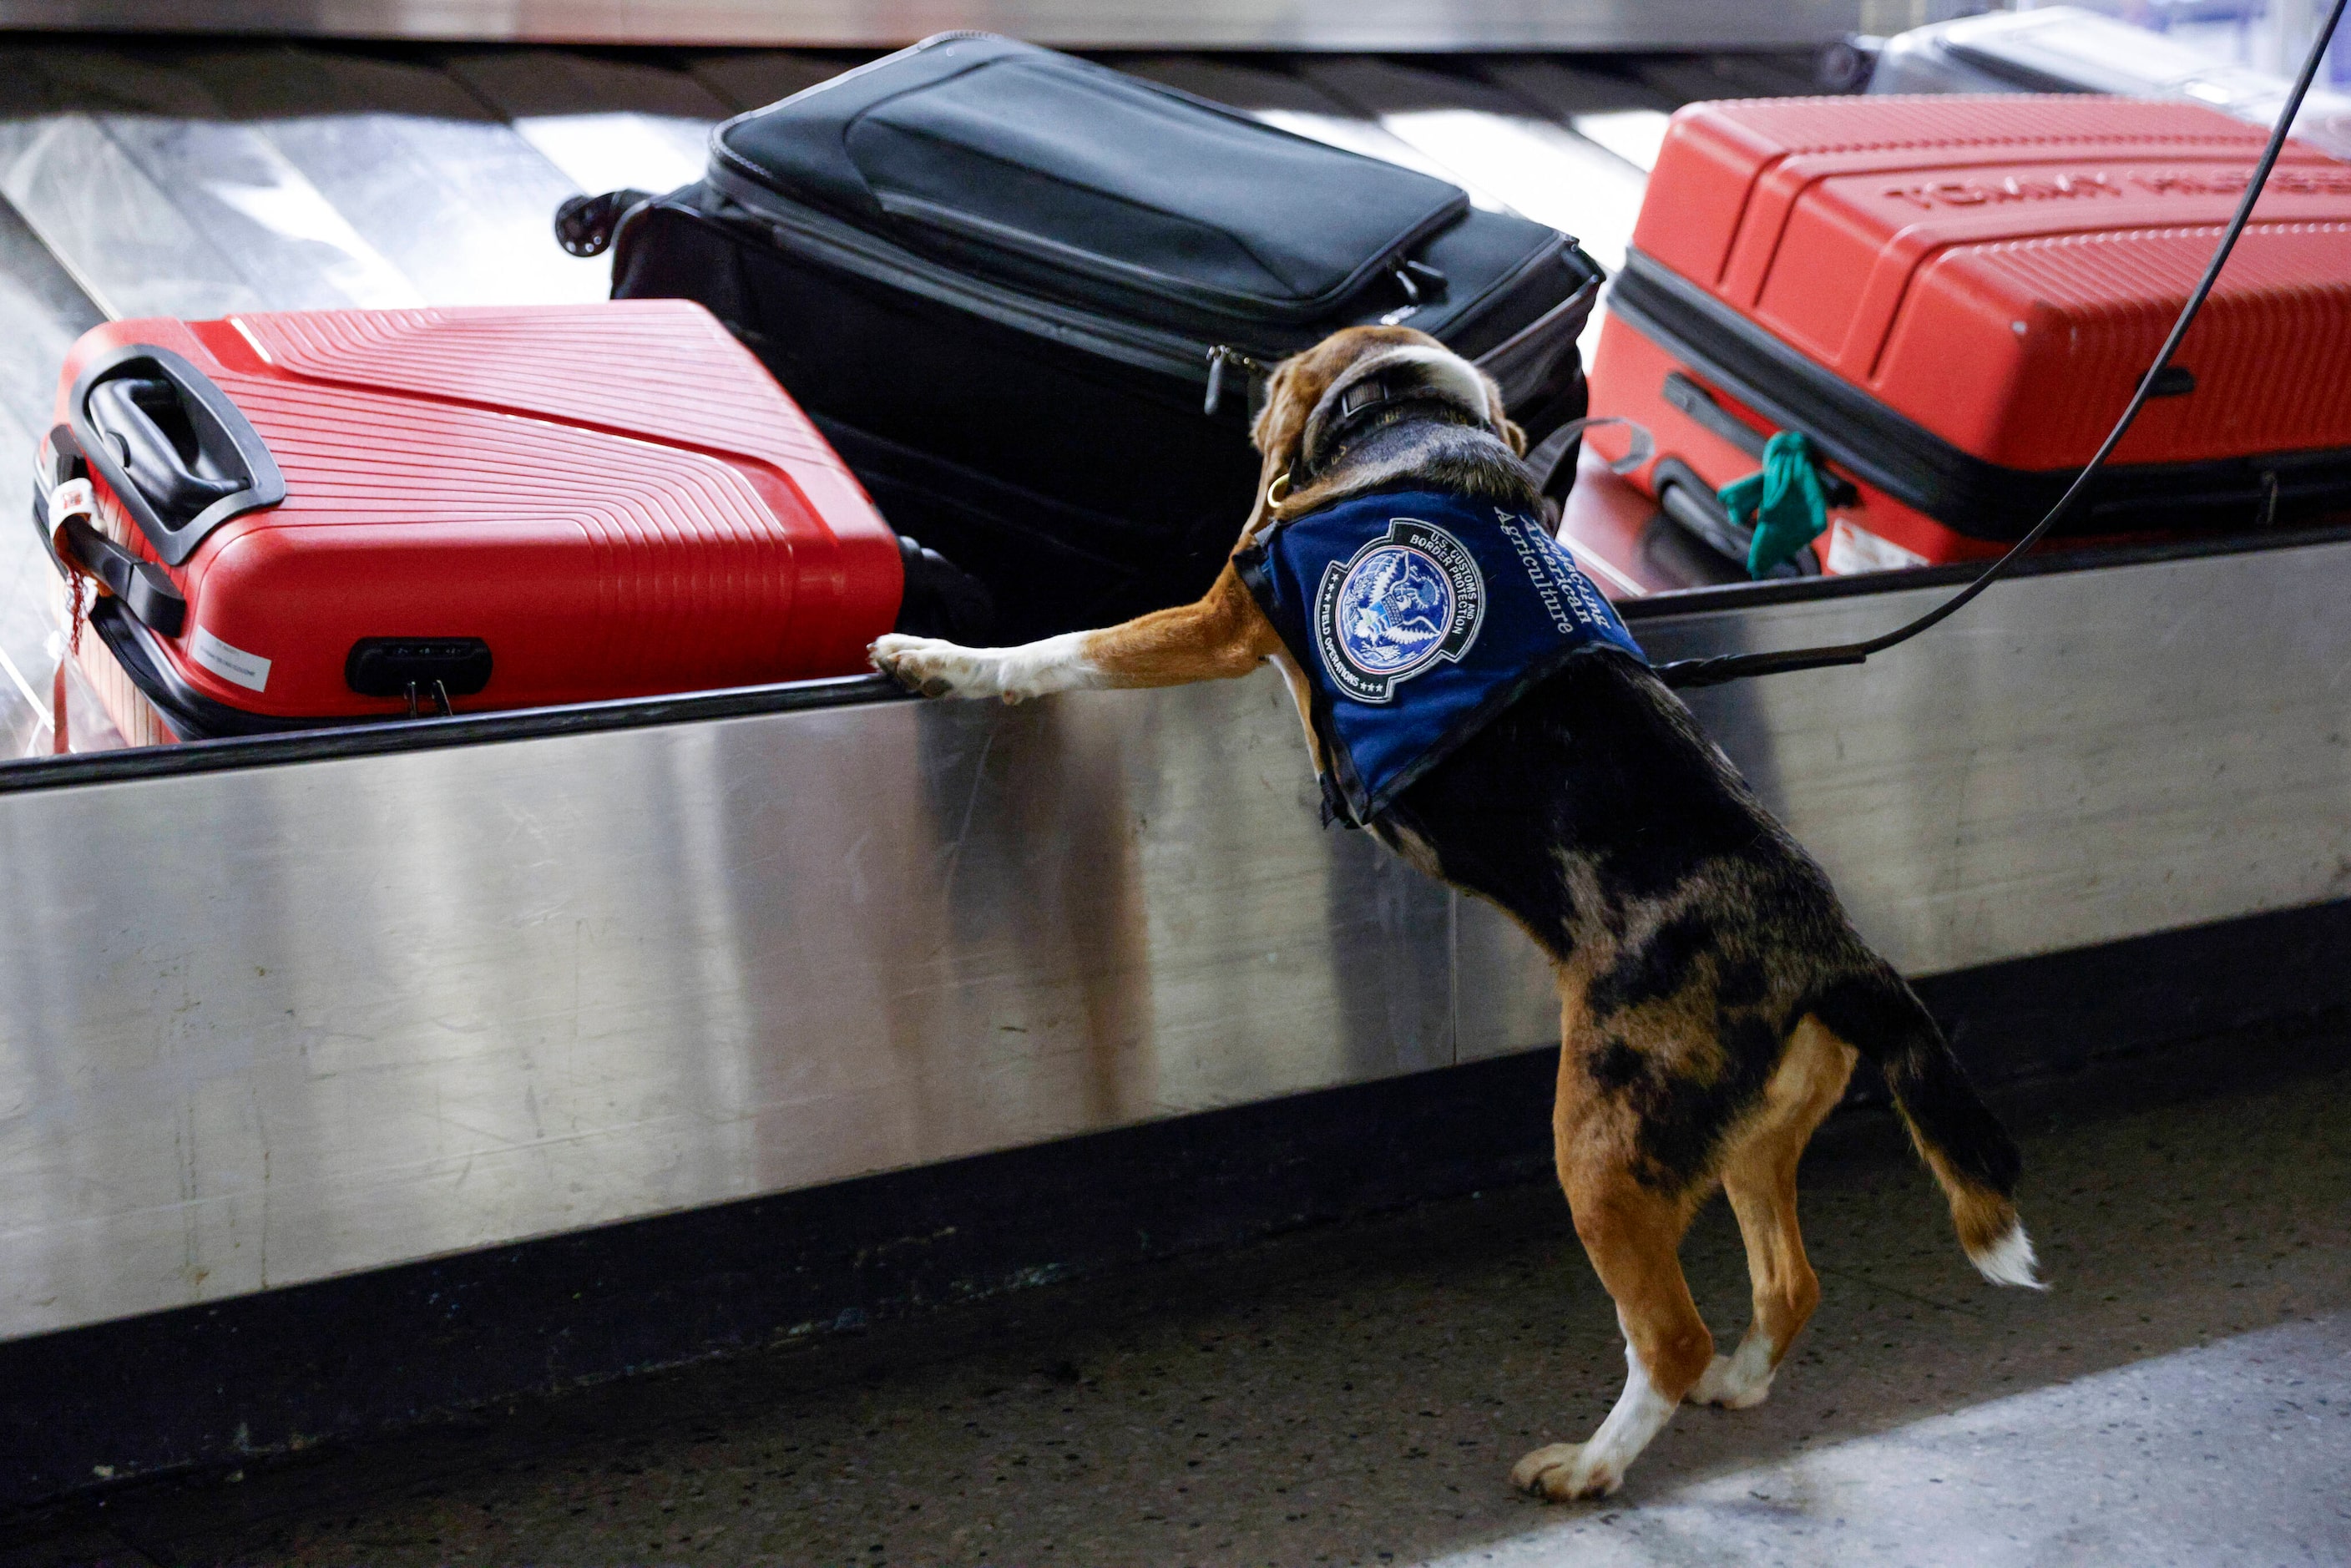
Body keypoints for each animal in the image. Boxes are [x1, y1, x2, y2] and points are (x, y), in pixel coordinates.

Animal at [865, 324, 2040, 1504]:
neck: (1415, 422)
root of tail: (1831, 951)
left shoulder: (1218, 620)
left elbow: (1062, 650)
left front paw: (942, 662)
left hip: (1602, 1149)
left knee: (1669, 1337)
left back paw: (1586, 1467)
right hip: (1745, 1143)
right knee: (1787, 1288)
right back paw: (1736, 1388)